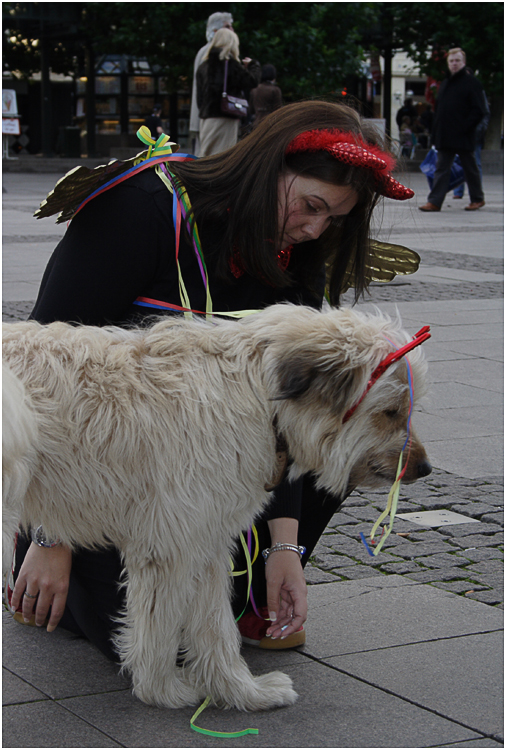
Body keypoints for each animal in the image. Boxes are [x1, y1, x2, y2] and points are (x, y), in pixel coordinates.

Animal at [2, 304, 430, 712]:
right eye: (390, 411)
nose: (425, 468)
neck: (259, 394)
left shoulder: (206, 538)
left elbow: (215, 627)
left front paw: (241, 692)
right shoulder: (172, 545)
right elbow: (161, 626)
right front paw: (162, 690)